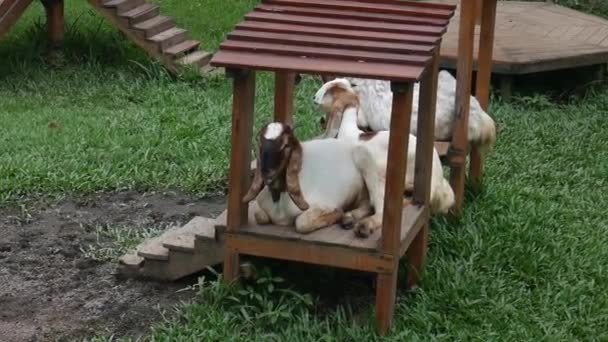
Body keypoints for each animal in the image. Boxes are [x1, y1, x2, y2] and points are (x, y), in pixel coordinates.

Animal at [242, 122, 376, 235]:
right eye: (259, 142)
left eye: (286, 145)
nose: (266, 172)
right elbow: (260, 216)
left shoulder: (323, 205)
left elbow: (301, 223)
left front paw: (338, 213)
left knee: (367, 204)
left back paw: (348, 219)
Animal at [316, 79, 454, 236]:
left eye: (330, 93)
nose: (321, 120)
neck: (350, 132)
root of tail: (436, 180)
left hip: (378, 173)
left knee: (384, 207)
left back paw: (364, 226)